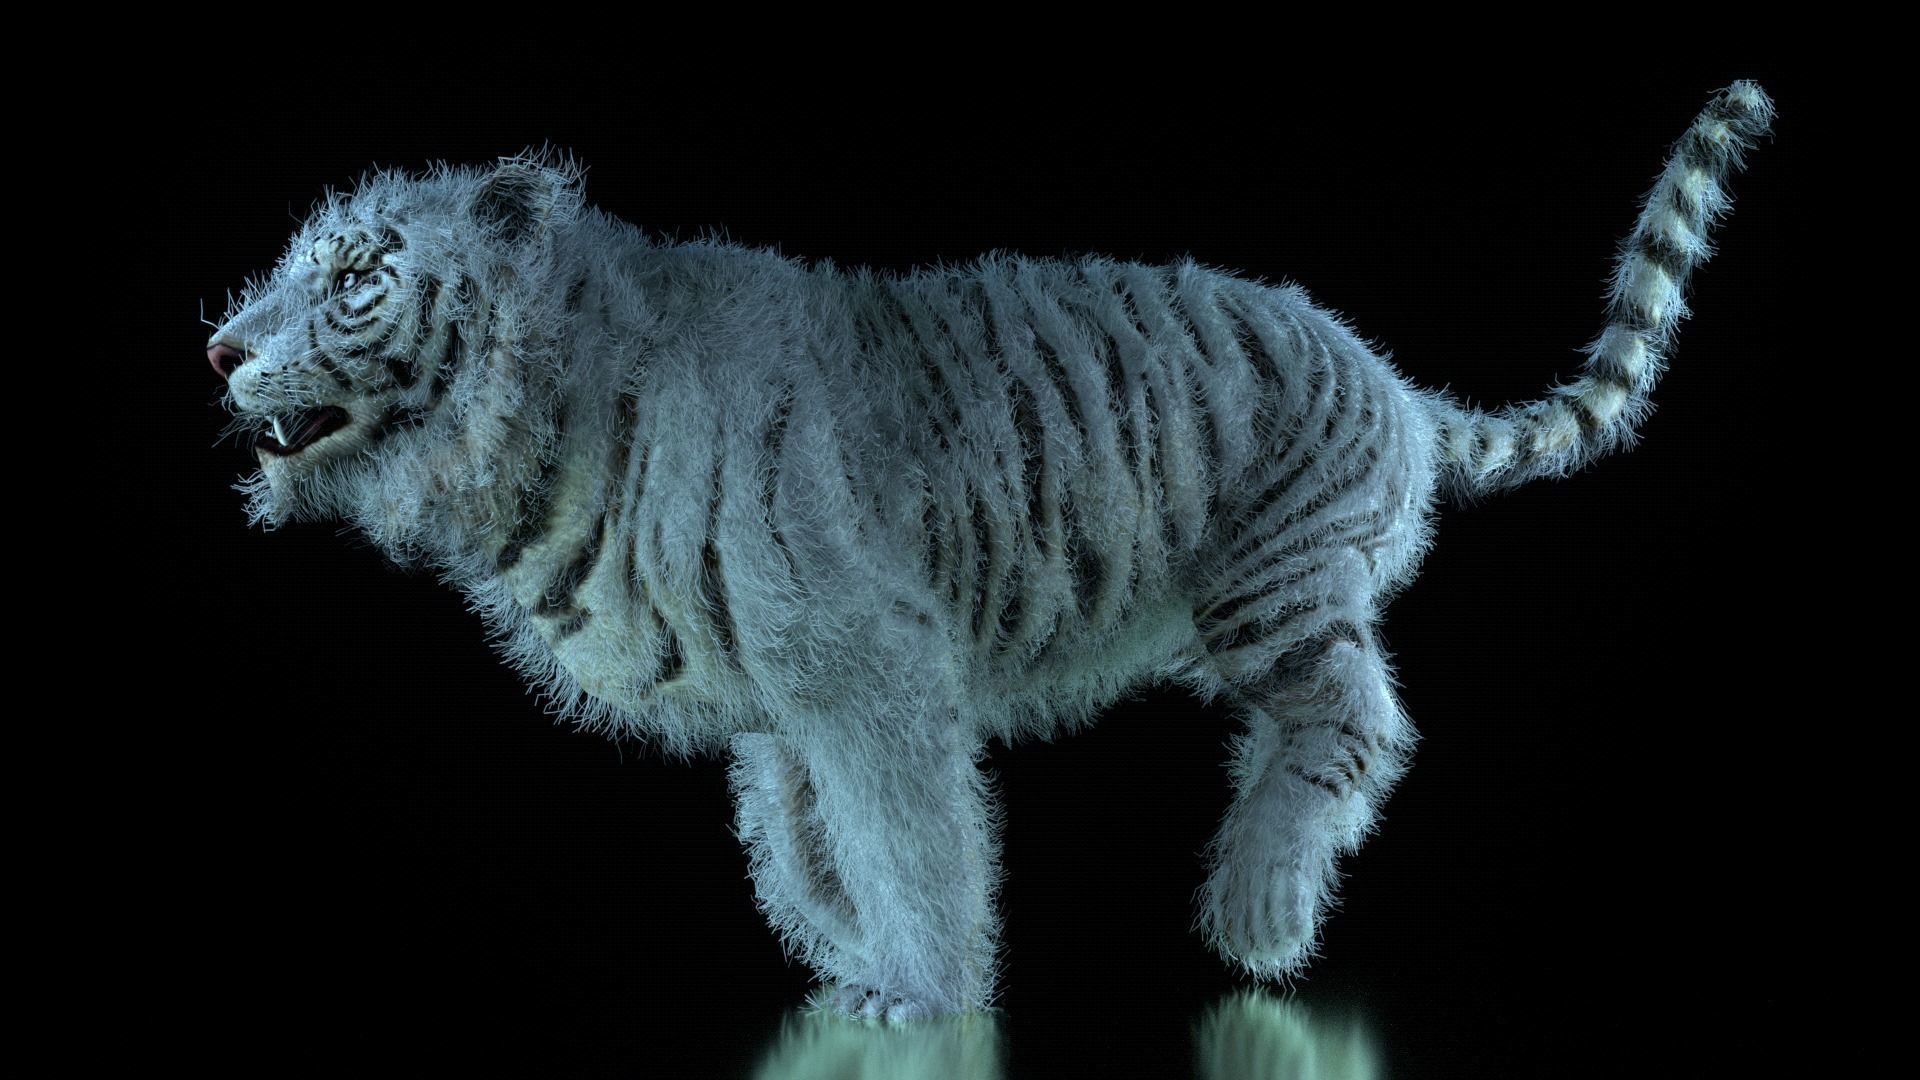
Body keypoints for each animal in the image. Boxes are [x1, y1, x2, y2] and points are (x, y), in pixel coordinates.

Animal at [205, 82, 1773, 1021]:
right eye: (288, 263)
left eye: (356, 278)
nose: (217, 346)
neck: (539, 429)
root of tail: (1386, 372)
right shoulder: (783, 704)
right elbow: (801, 851)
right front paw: (846, 969)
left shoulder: (871, 672)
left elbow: (909, 838)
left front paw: (923, 994)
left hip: (1277, 588)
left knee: (1356, 719)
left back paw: (1258, 912)